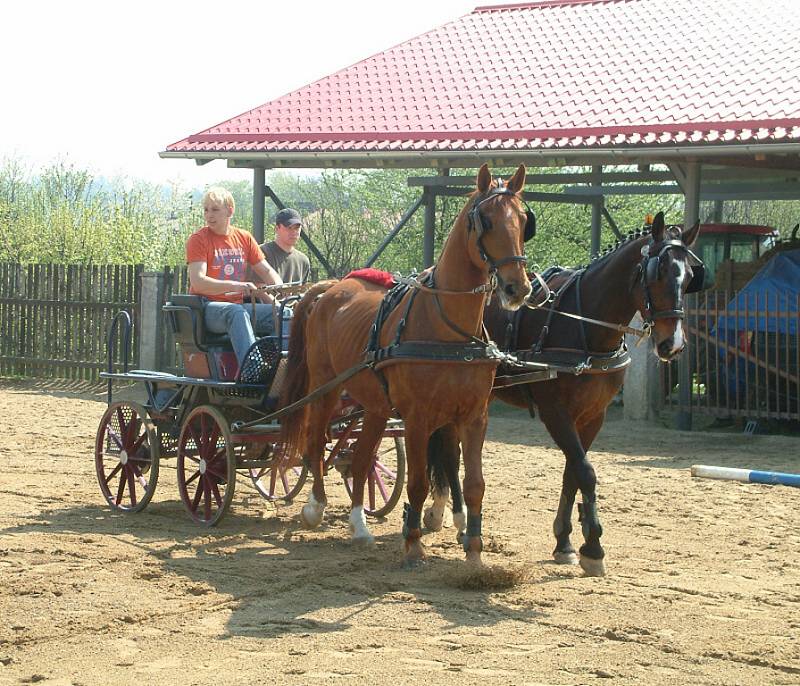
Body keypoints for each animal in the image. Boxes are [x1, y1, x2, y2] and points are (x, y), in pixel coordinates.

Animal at [278, 164, 536, 568]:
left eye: (524, 221)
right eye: (487, 221)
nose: (517, 289)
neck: (449, 331)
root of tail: (332, 287)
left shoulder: (473, 417)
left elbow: (474, 484)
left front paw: (474, 552)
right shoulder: (418, 418)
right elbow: (417, 482)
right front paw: (413, 544)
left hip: (376, 405)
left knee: (362, 458)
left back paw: (359, 526)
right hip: (325, 386)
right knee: (316, 442)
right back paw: (315, 506)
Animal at [424, 212, 700, 576]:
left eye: (689, 277)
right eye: (658, 273)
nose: (673, 344)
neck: (586, 326)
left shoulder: (593, 415)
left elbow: (573, 472)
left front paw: (565, 542)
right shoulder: (555, 411)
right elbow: (586, 471)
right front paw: (593, 547)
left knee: (449, 449)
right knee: (448, 451)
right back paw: (453, 517)